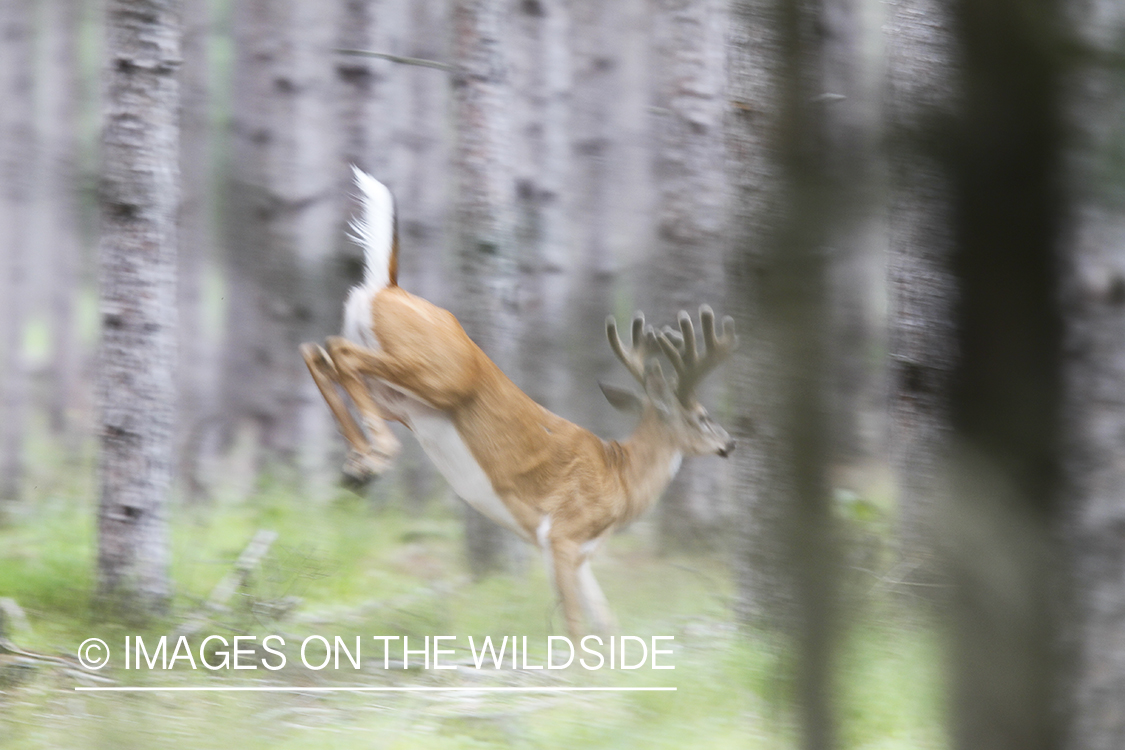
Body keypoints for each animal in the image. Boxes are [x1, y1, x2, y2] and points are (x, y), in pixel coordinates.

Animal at [300, 168, 737, 638]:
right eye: (701, 416)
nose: (730, 443)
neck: (620, 477)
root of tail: (389, 287)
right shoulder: (562, 532)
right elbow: (576, 625)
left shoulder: (578, 552)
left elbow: (607, 621)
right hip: (442, 375)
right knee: (338, 351)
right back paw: (378, 453)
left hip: (401, 398)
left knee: (319, 352)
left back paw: (358, 463)